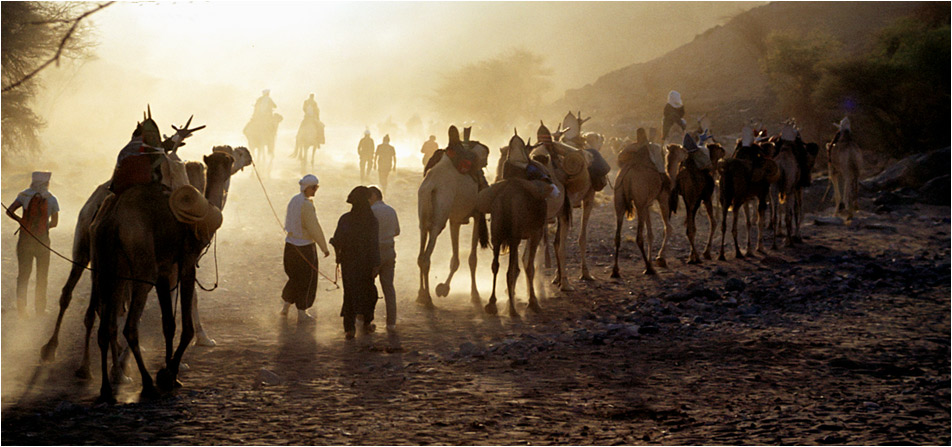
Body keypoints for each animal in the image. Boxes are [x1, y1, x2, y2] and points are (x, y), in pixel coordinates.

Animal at [89, 151, 234, 406]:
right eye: (227, 160)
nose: (230, 160)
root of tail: (112, 220)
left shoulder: (164, 270)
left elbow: (169, 323)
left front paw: (171, 374)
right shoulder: (186, 261)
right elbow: (185, 326)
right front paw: (169, 374)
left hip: (108, 268)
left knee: (106, 327)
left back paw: (107, 389)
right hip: (142, 266)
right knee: (129, 326)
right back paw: (147, 384)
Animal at [418, 126, 490, 308]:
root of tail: (431, 185)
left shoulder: (455, 219)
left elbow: (455, 259)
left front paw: (444, 288)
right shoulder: (476, 214)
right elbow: (472, 259)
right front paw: (475, 295)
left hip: (423, 217)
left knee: (420, 255)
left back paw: (420, 295)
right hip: (439, 218)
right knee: (426, 257)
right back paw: (427, 299)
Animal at [608, 143, 676, 276]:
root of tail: (627, 174)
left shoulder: (647, 205)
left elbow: (650, 233)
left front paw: (655, 259)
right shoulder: (662, 197)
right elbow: (668, 227)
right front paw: (660, 259)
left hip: (619, 197)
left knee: (617, 236)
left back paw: (615, 270)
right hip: (639, 200)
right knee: (639, 237)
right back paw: (648, 268)